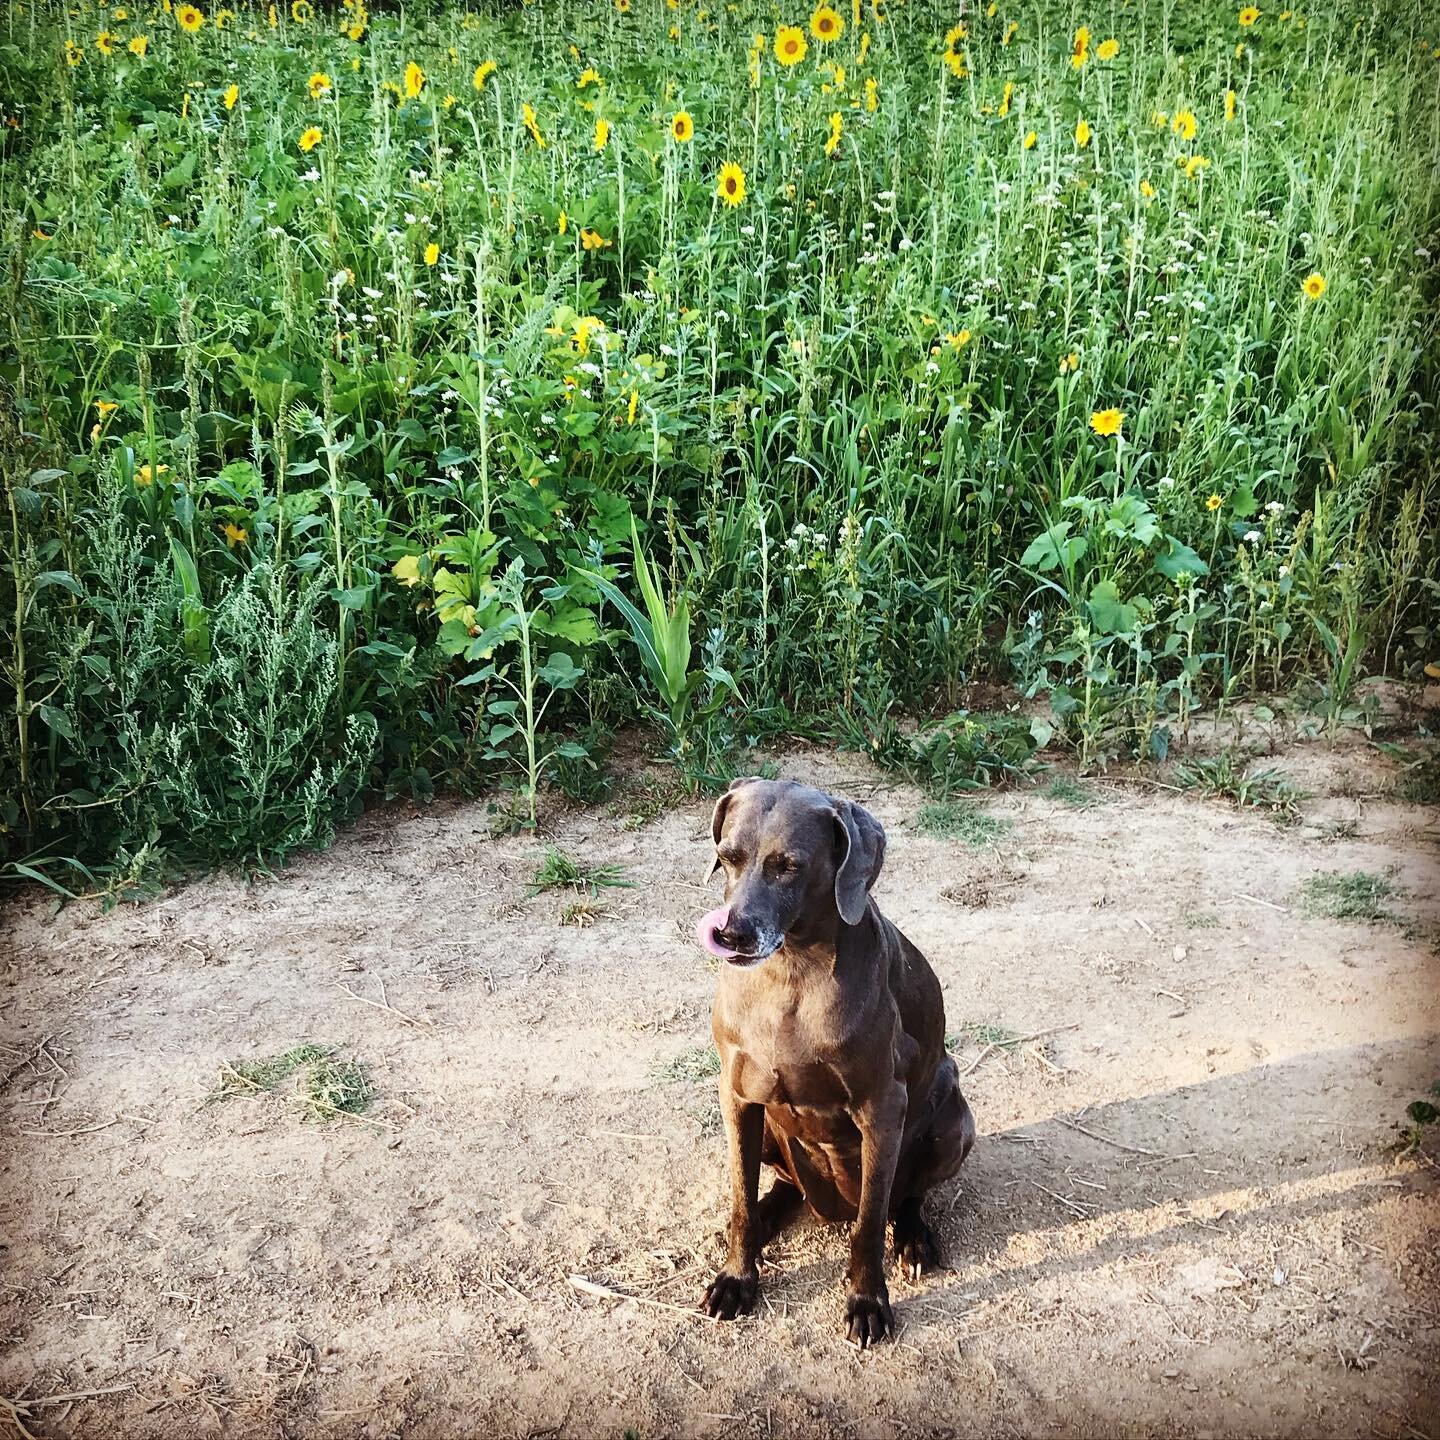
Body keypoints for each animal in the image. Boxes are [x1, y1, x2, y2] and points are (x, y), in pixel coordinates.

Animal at [688, 783, 979, 1342]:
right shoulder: (737, 1097)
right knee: (779, 1188)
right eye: (727, 857)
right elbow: (740, 1198)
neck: (790, 971)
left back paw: (914, 1239)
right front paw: (737, 1278)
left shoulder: (881, 1109)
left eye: (790, 866)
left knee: (904, 1199)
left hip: (955, 1120)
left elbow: (870, 1222)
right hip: (770, 1136)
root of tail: (829, 1207)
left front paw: (867, 1302)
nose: (731, 935)